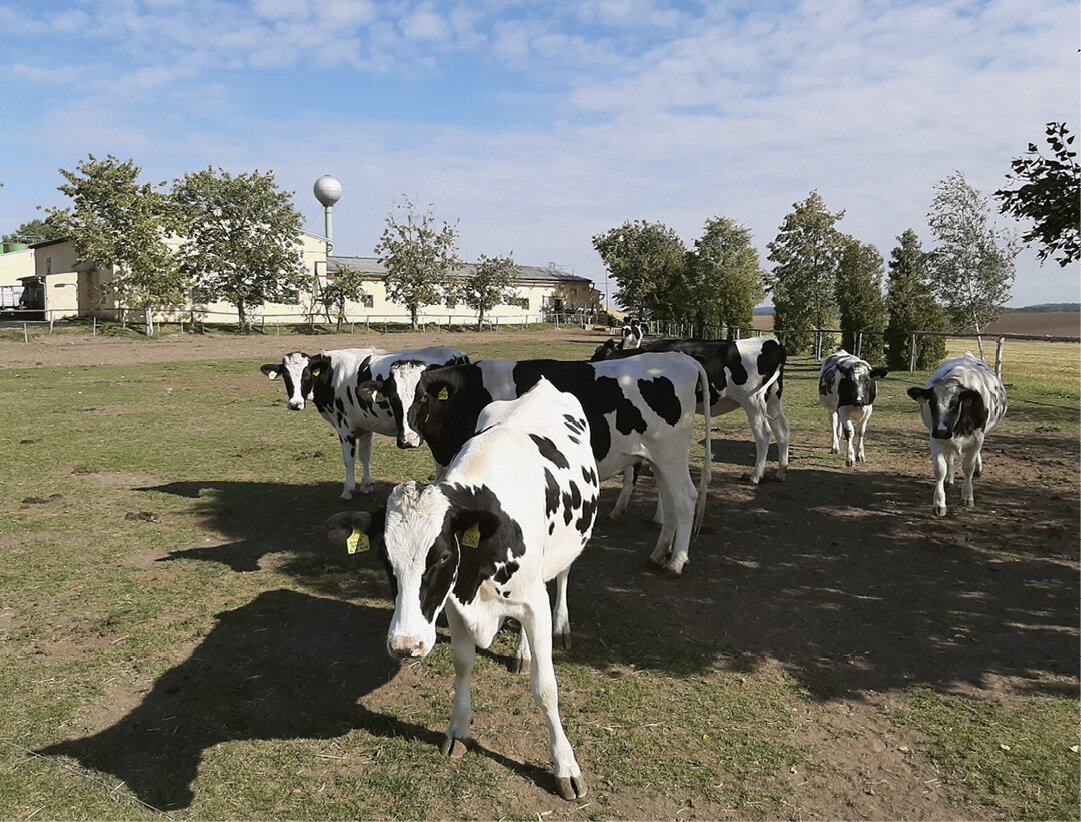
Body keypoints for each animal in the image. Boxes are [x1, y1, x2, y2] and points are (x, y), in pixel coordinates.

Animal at [259, 347, 468, 499]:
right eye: (286, 377)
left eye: (307, 375)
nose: (295, 404)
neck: (333, 373)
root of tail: (458, 355)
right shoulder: (367, 425)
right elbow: (365, 456)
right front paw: (367, 484)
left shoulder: (344, 427)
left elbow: (349, 459)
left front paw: (348, 490)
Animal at [327, 379, 597, 800]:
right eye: (385, 559)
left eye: (441, 557)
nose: (405, 646)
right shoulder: (454, 604)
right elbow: (463, 665)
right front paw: (457, 729)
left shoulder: (533, 602)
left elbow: (545, 687)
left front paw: (565, 765)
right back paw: (522, 652)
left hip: (568, 546)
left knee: (564, 574)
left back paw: (560, 626)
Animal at [374, 353, 711, 575]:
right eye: (392, 398)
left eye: (422, 397)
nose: (406, 439)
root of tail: (680, 357)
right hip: (659, 459)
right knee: (670, 502)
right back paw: (658, 554)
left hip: (671, 454)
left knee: (685, 499)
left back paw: (676, 562)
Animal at [592, 336, 790, 486]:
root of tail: (772, 342)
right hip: (772, 398)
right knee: (782, 429)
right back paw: (781, 471)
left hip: (752, 400)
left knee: (763, 433)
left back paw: (756, 476)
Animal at [906, 352, 1008, 516]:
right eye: (931, 402)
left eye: (954, 404)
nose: (941, 431)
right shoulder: (934, 438)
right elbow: (940, 470)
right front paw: (939, 503)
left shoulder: (978, 438)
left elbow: (968, 467)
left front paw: (967, 496)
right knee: (950, 455)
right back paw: (949, 478)